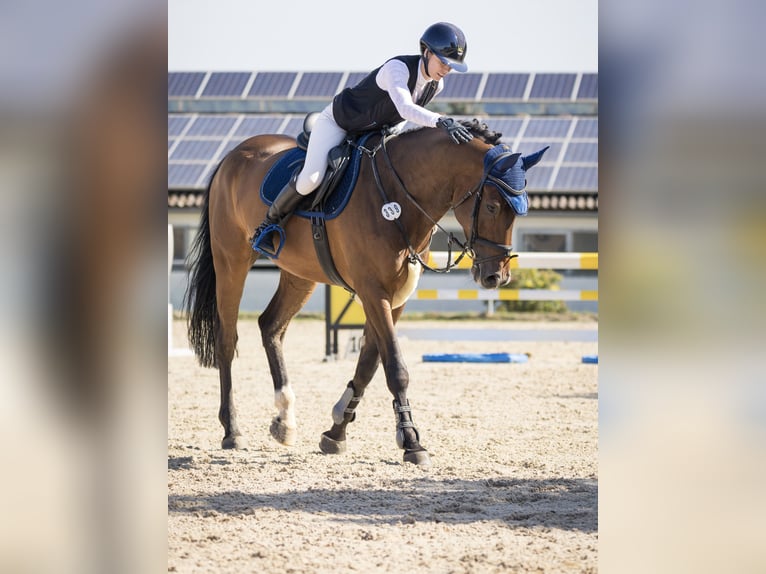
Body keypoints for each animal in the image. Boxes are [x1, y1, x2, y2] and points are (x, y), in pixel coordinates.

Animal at [184, 120, 544, 468]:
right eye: (493, 207)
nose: (495, 276)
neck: (398, 198)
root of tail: (234, 155)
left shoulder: (394, 299)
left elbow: (369, 363)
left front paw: (336, 430)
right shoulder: (373, 292)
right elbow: (396, 368)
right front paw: (411, 441)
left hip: (299, 274)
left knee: (271, 326)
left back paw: (284, 420)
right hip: (231, 261)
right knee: (227, 339)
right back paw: (232, 429)